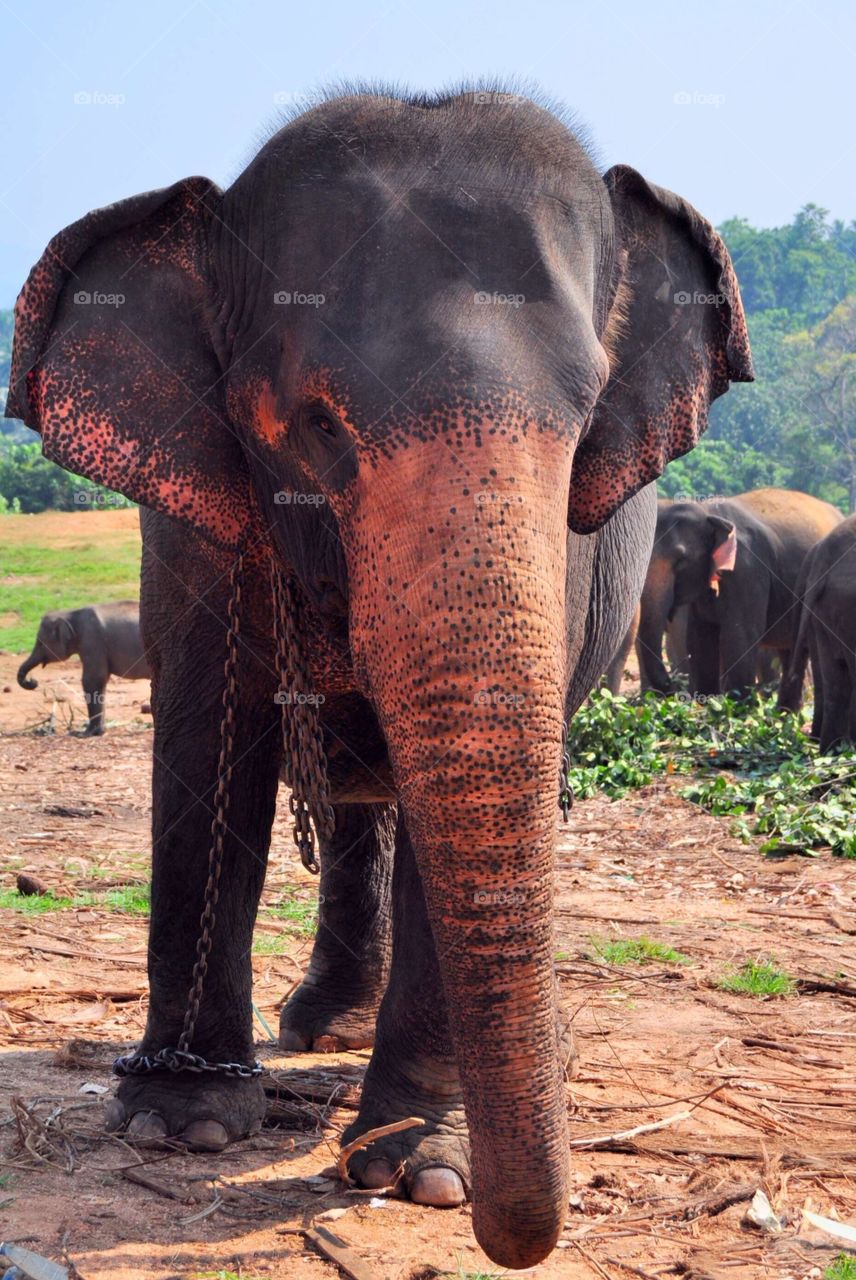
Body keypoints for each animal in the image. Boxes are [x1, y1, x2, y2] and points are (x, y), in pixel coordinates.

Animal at [16, 602, 150, 734]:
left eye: (40, 643)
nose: (32, 681)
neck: (69, 613)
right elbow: (101, 680)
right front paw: (98, 731)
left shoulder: (92, 641)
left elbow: (92, 680)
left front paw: (85, 733)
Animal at [636, 488, 842, 697]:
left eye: (681, 559)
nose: (673, 687)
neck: (708, 512)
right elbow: (699, 639)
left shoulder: (747, 568)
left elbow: (741, 636)